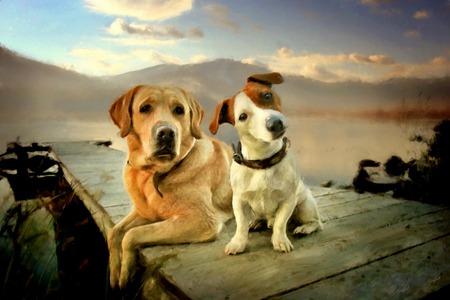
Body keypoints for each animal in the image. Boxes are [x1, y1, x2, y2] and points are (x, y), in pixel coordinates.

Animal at [107, 84, 232, 288]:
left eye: (179, 110)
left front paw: (126, 273)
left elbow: (131, 235)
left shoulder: (201, 220)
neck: (153, 173)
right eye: (145, 108)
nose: (166, 133)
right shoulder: (146, 212)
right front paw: (115, 272)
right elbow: (114, 232)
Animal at [209, 72, 322, 253]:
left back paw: (304, 228)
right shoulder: (239, 200)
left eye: (267, 96)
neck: (262, 161)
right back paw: (257, 222)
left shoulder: (288, 200)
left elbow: (280, 224)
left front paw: (280, 240)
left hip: (304, 206)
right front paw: (238, 242)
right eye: (242, 117)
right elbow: (241, 225)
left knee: (316, 222)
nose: (275, 123)